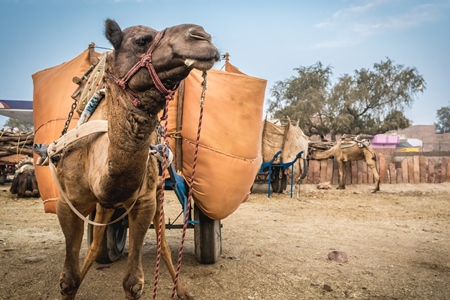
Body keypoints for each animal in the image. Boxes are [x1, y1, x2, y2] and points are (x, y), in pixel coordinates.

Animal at [48, 19, 220, 300]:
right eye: (141, 41)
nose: (202, 37)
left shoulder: (144, 202)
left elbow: (133, 282)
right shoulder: (69, 203)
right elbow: (68, 280)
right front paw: (76, 279)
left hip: (156, 195)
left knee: (165, 245)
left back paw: (182, 291)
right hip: (105, 206)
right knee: (96, 245)